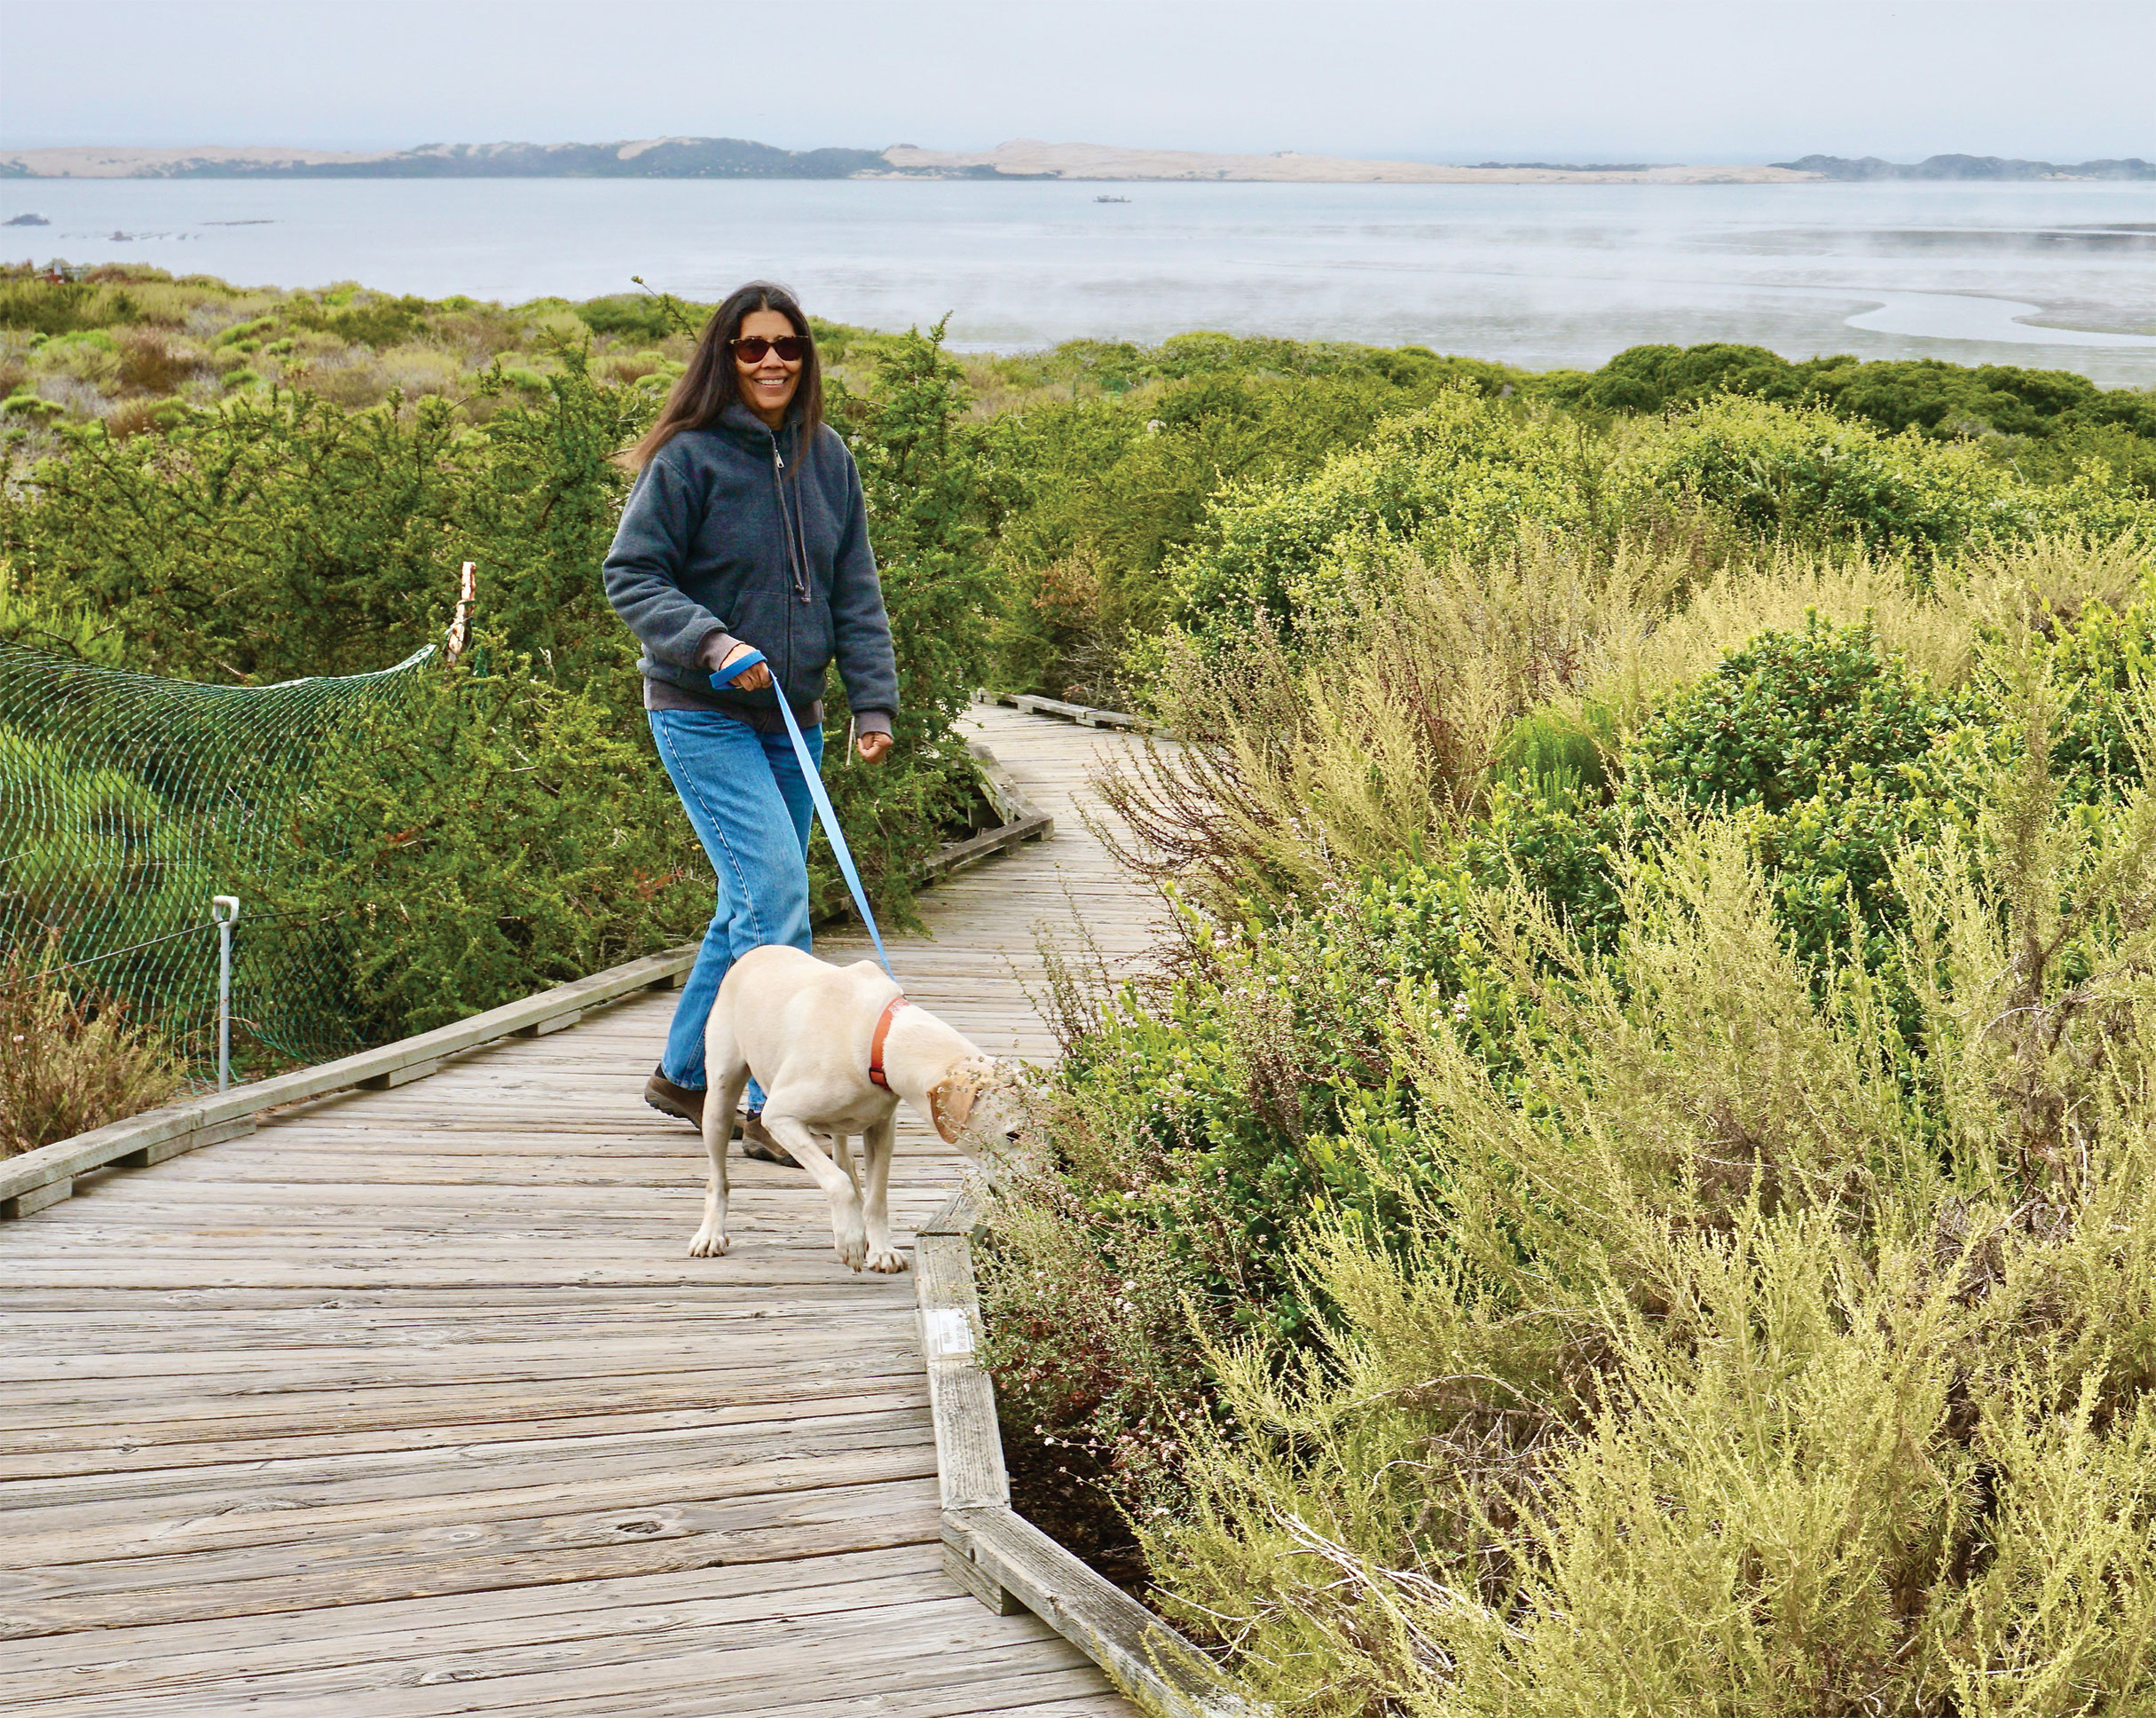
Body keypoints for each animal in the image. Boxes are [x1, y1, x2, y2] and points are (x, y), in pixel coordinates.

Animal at [690, 945, 1011, 1273]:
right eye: (1014, 1135)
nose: (1029, 1186)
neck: (880, 1040)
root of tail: (757, 952)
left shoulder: (882, 1127)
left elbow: (876, 1196)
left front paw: (881, 1249)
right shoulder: (779, 1117)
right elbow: (837, 1182)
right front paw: (851, 1240)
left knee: (845, 1160)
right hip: (720, 1100)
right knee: (718, 1175)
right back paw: (711, 1234)